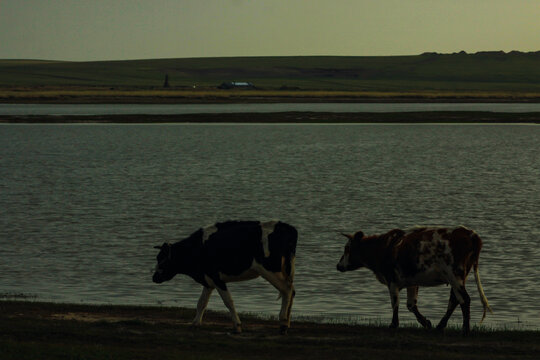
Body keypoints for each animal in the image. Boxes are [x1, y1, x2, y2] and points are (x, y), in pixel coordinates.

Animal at [152, 219, 298, 334]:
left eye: (162, 259)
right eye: (157, 257)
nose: (154, 277)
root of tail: (286, 227)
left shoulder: (217, 278)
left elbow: (228, 301)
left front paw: (237, 326)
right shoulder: (208, 280)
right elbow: (201, 303)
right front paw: (195, 323)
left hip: (269, 269)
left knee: (286, 290)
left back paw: (283, 323)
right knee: (291, 291)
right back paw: (287, 323)